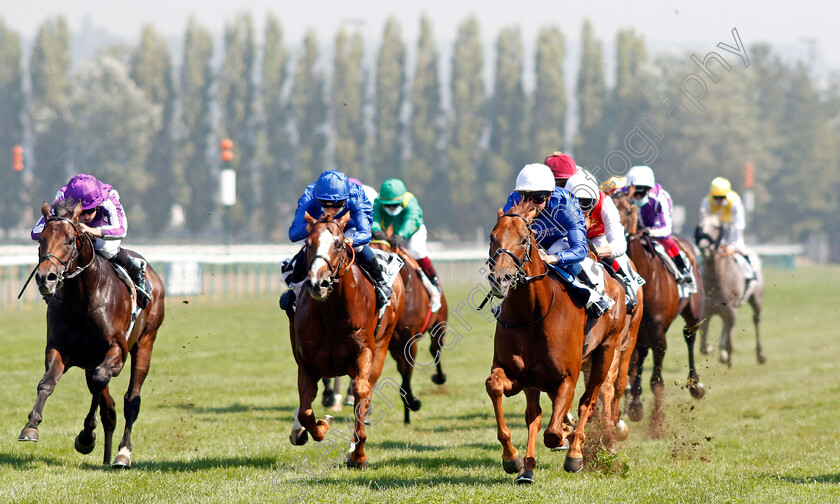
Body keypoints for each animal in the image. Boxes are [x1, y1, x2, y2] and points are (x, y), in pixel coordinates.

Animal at [18, 199, 166, 466]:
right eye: (41, 239)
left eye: (69, 240)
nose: (46, 278)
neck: (82, 297)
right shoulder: (60, 348)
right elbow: (47, 383)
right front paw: (31, 426)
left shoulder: (117, 350)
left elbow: (101, 380)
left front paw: (86, 436)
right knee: (110, 408)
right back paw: (106, 458)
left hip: (146, 341)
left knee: (132, 399)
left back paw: (122, 453)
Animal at [288, 212, 406, 468]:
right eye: (308, 244)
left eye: (340, 244)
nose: (318, 282)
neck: (331, 312)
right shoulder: (306, 364)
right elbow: (306, 411)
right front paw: (321, 424)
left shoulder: (363, 353)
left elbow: (361, 392)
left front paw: (358, 455)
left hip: (382, 344)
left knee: (366, 391)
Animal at [486, 203, 624, 482]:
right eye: (492, 238)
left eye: (524, 240)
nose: (500, 279)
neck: (531, 315)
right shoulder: (517, 374)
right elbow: (495, 386)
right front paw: (512, 458)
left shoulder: (567, 377)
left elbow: (553, 433)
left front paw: (569, 443)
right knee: (535, 416)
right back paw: (527, 469)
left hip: (606, 351)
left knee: (589, 402)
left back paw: (575, 451)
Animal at [608, 191, 704, 436]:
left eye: (629, 209)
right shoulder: (637, 329)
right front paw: (634, 407)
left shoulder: (659, 331)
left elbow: (656, 379)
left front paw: (657, 422)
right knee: (641, 354)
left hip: (693, 311)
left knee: (689, 336)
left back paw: (695, 384)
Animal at [692, 214, 764, 366]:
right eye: (700, 226)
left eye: (716, 226)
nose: (704, 247)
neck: (715, 281)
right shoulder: (707, 311)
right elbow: (703, 347)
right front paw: (712, 348)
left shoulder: (731, 310)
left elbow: (729, 339)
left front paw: (726, 355)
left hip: (756, 300)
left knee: (756, 320)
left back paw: (760, 354)